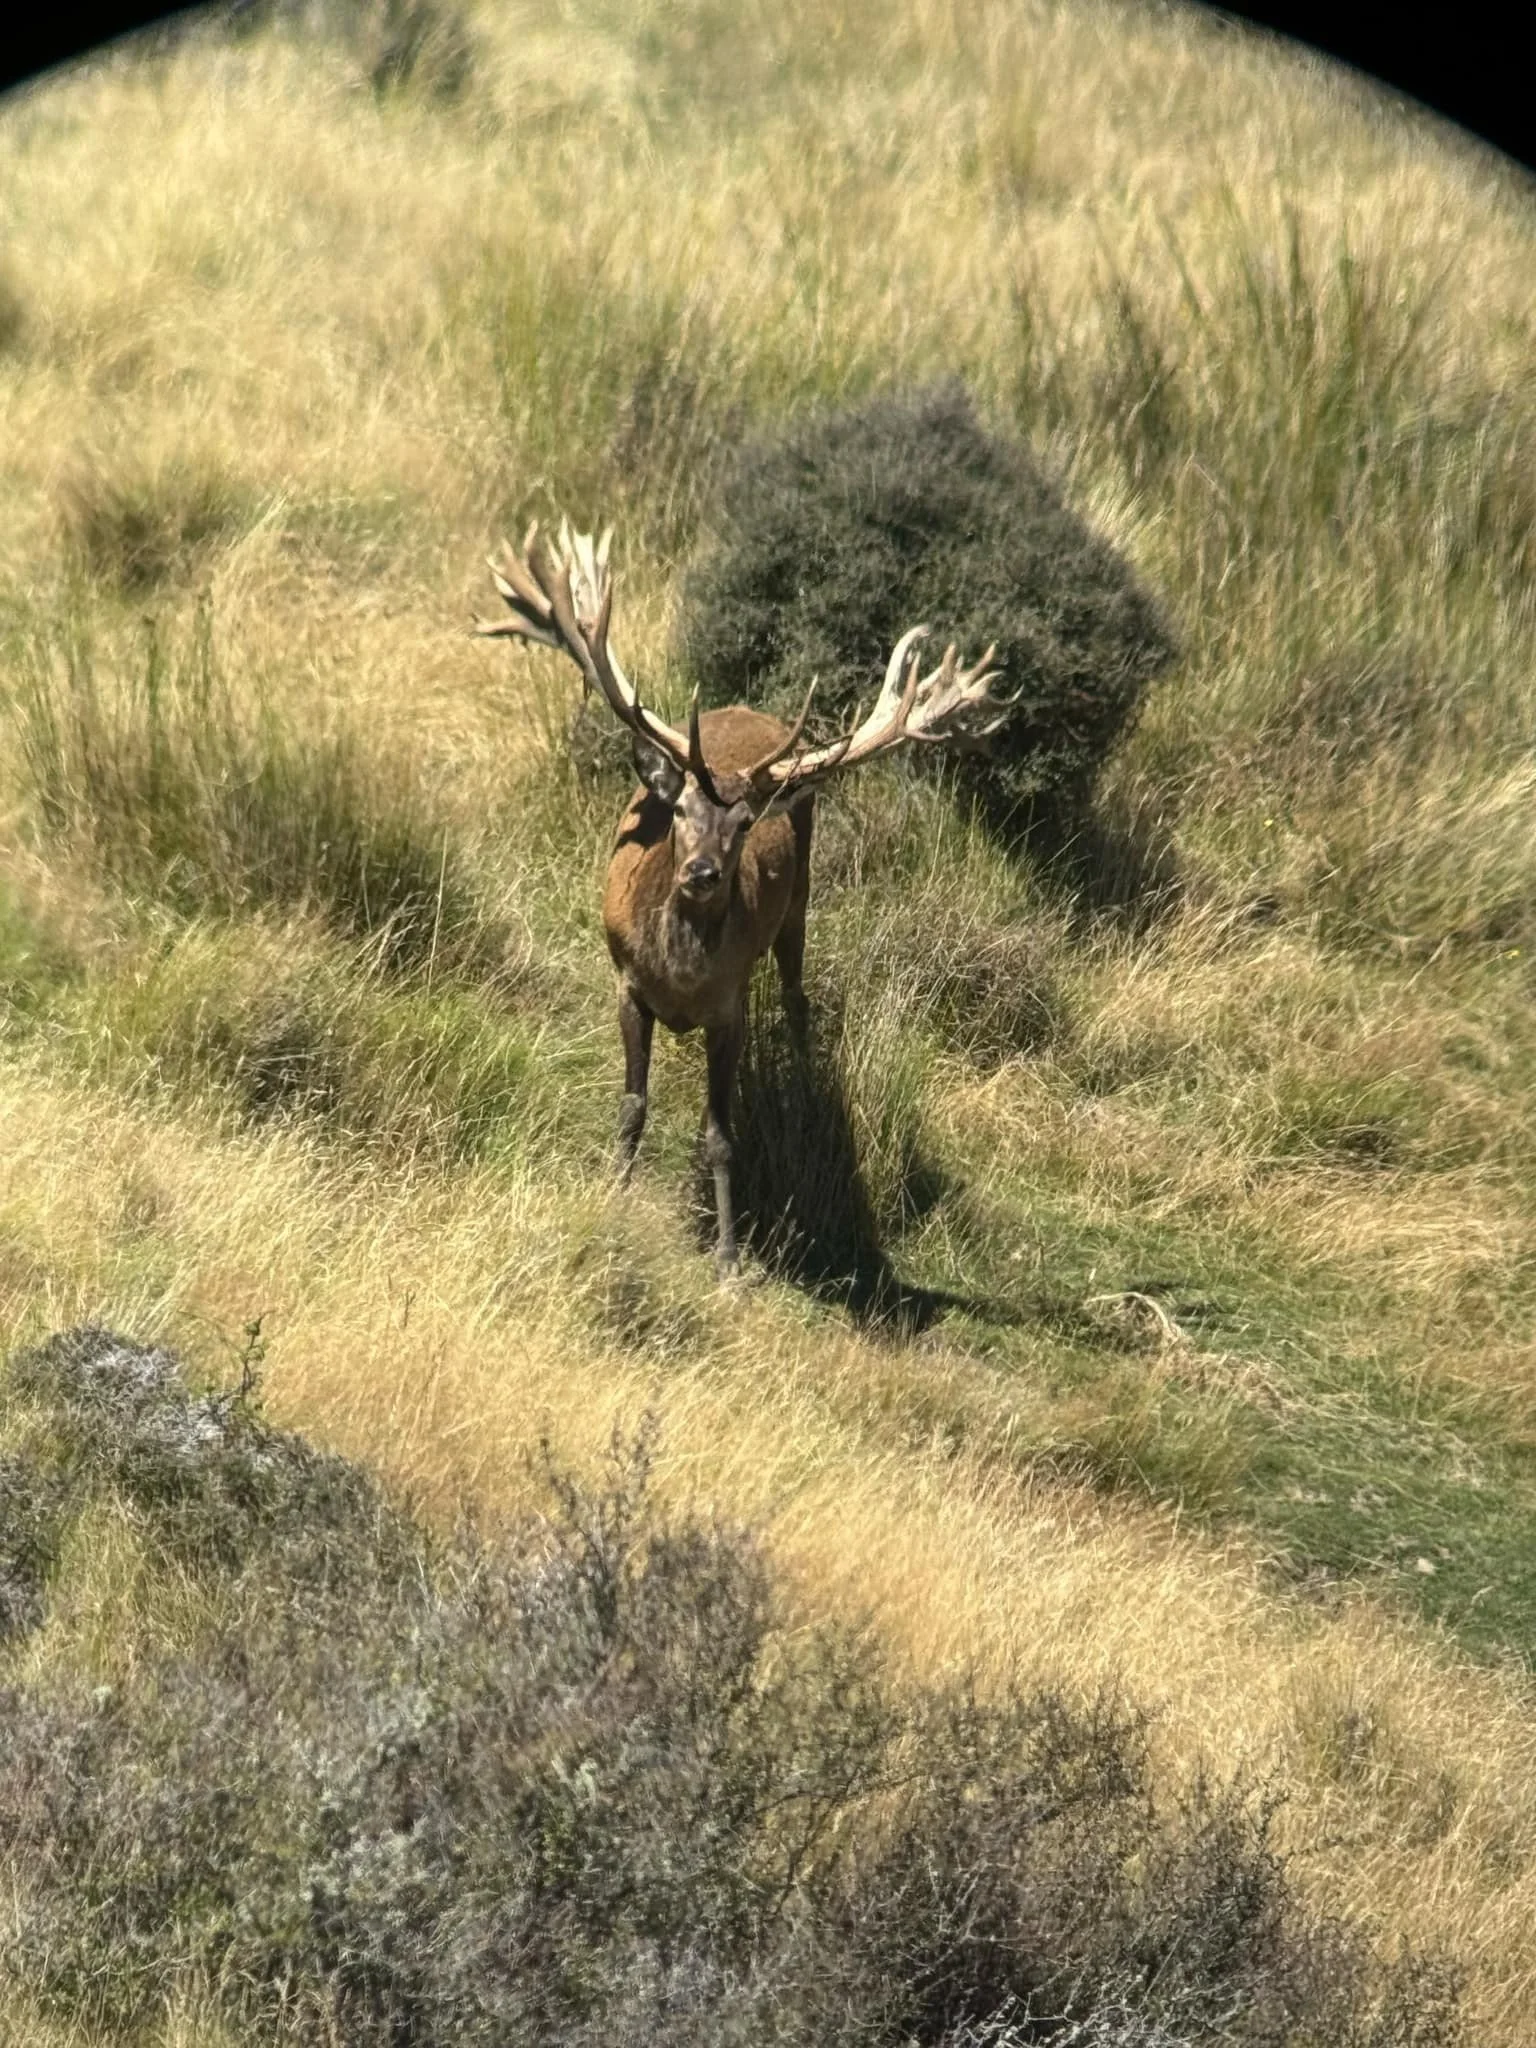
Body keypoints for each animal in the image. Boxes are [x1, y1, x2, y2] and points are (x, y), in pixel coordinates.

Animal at [476, 520, 1009, 1282]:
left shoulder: (728, 1008)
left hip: (799, 905)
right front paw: (615, 1197)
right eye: (682, 810)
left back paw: (806, 1087)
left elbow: (720, 1135)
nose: (702, 872)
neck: (679, 976)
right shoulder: (626, 983)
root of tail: (750, 709)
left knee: (796, 996)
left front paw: (729, 1257)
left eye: (745, 825)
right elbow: (632, 1106)